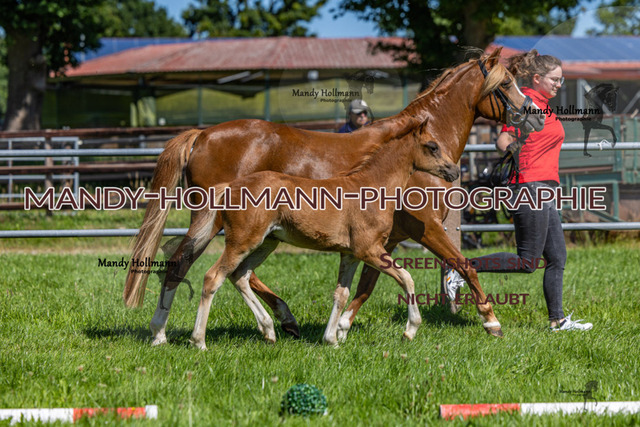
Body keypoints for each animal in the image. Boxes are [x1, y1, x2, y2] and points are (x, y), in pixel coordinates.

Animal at [185, 123, 458, 349]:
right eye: (432, 146)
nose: (454, 171)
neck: (371, 188)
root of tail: (229, 186)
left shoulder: (350, 255)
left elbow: (341, 294)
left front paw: (332, 339)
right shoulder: (369, 249)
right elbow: (406, 278)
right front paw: (410, 330)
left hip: (266, 243)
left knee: (240, 275)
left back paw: (269, 331)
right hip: (242, 242)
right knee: (214, 277)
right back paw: (199, 341)